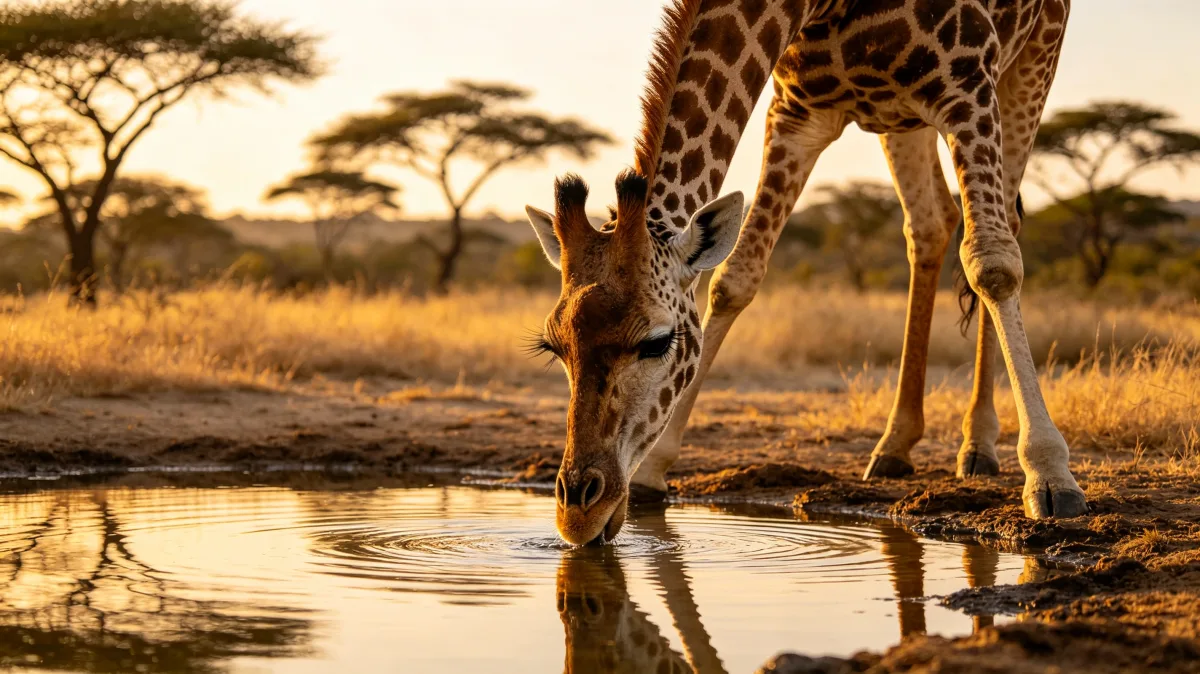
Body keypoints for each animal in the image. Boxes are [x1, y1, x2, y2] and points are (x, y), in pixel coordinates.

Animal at [526, 0, 1087, 546]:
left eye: (657, 342)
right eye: (555, 348)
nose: (577, 511)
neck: (814, 8)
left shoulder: (966, 84)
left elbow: (992, 263)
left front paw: (1051, 476)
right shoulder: (797, 114)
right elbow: (736, 276)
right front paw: (653, 471)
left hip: (1032, 57)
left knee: (1001, 225)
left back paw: (979, 443)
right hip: (900, 118)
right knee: (931, 223)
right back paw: (895, 444)